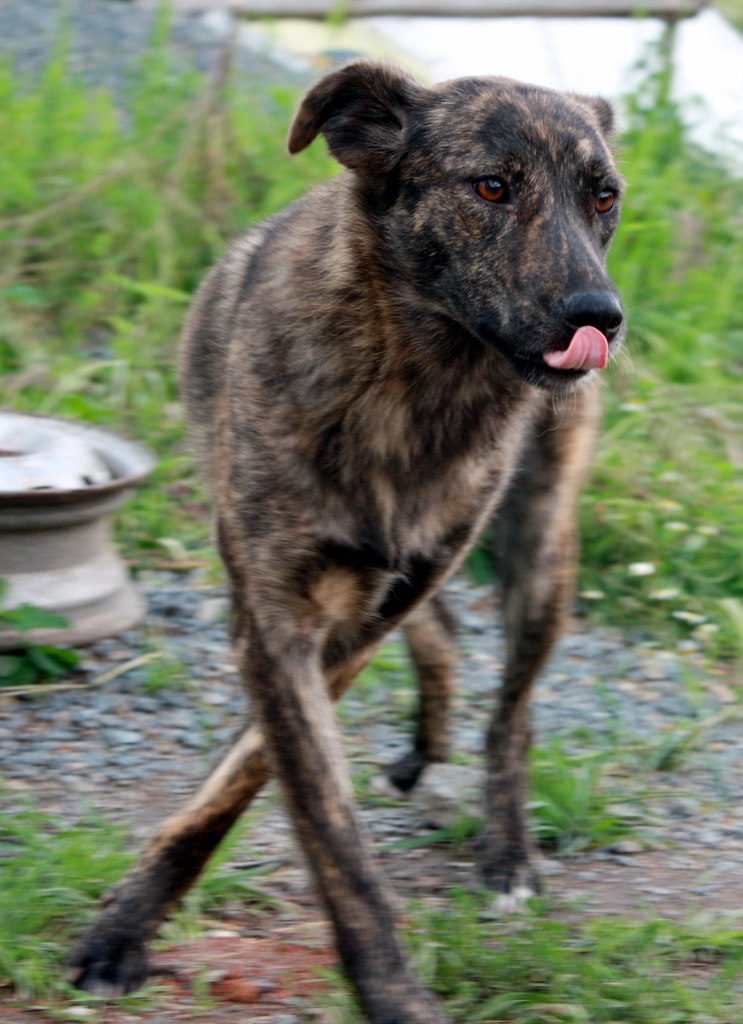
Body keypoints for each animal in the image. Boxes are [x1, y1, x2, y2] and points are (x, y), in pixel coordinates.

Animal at [69, 59, 630, 1019]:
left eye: (603, 197)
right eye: (490, 187)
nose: (600, 316)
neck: (416, 381)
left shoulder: (335, 634)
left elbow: (255, 775)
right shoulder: (280, 623)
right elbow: (317, 822)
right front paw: (124, 932)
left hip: (538, 547)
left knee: (510, 712)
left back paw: (505, 843)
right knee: (440, 631)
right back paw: (425, 748)